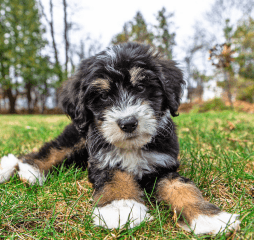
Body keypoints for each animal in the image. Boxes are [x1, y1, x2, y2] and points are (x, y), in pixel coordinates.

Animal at [0, 42, 240, 233]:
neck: (132, 147)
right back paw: (25, 169)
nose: (128, 123)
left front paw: (209, 217)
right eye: (104, 96)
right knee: (50, 150)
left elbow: (182, 187)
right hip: (78, 135)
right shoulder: (103, 160)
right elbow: (116, 178)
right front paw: (122, 209)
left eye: (141, 87)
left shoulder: (163, 164)